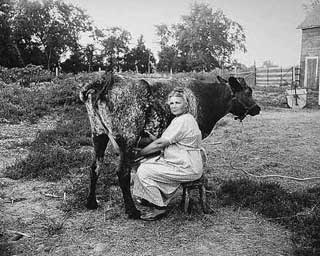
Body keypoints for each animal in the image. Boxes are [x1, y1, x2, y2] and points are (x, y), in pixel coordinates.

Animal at [79, 71, 260, 218]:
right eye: (248, 91)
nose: (257, 108)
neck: (208, 98)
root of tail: (106, 80)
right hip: (127, 136)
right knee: (122, 173)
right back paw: (132, 211)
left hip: (98, 134)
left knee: (95, 167)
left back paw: (91, 203)